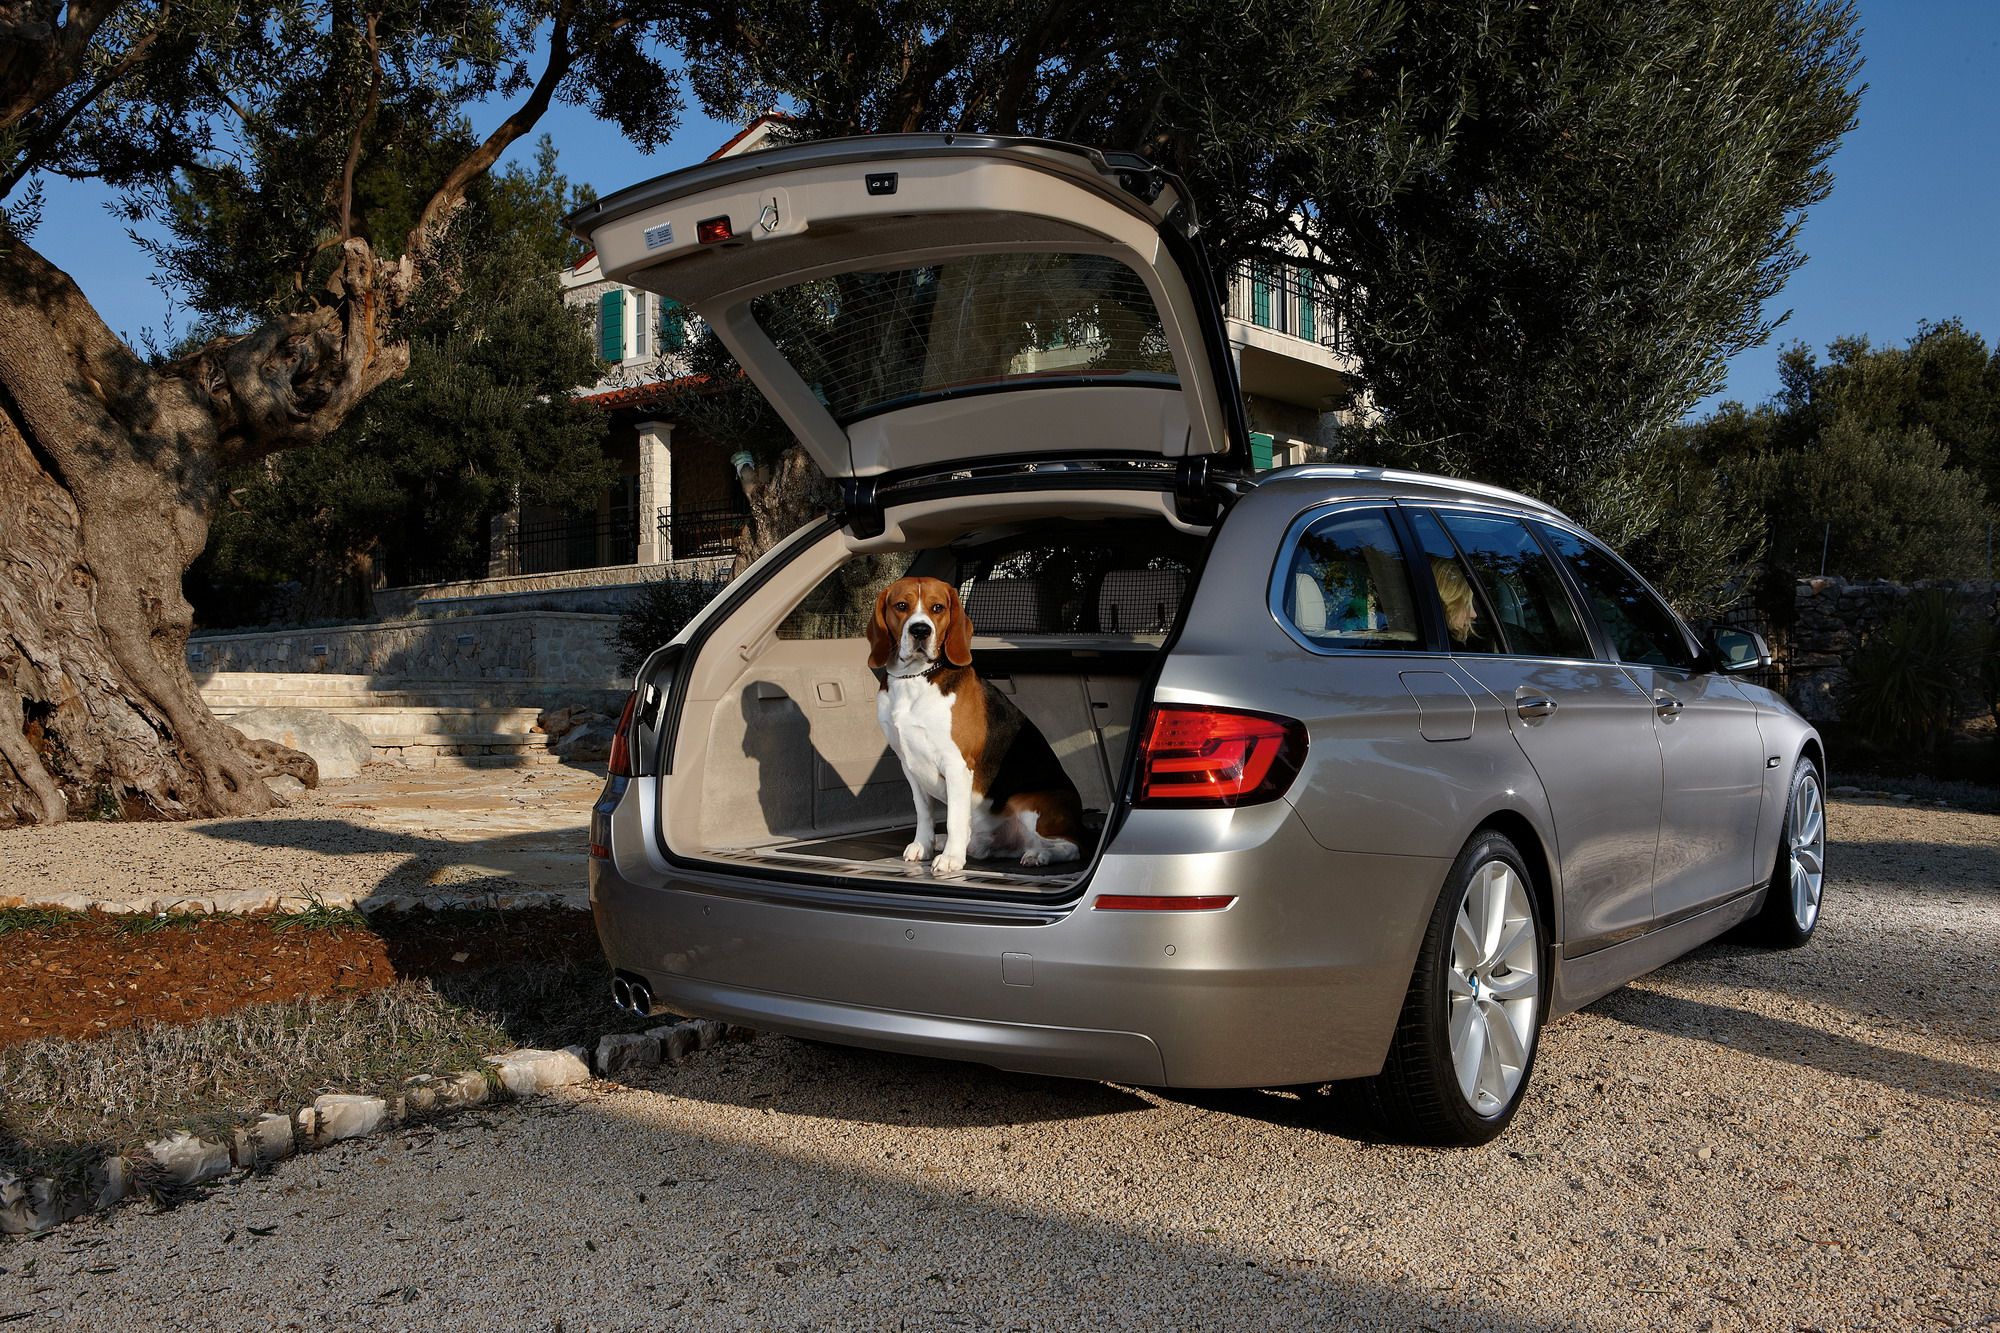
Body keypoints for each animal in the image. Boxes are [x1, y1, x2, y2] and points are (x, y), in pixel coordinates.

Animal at [868, 572, 1088, 872]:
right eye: (901, 606)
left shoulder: (957, 764)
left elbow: (954, 817)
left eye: (937, 608)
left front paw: (951, 858)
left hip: (1028, 804)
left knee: (1071, 847)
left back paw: (1039, 855)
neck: (916, 678)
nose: (920, 631)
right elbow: (923, 812)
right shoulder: (908, 764)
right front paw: (923, 845)